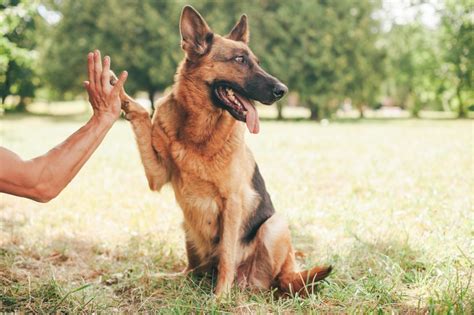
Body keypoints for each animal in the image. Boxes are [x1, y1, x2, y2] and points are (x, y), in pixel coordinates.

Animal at [115, 5, 330, 298]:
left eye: (257, 61)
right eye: (239, 60)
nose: (283, 91)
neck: (199, 132)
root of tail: (290, 271)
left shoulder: (233, 202)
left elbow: (227, 253)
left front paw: (219, 299)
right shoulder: (157, 176)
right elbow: (139, 116)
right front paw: (120, 95)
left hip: (275, 225)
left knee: (263, 282)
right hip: (188, 229)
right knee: (191, 272)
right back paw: (156, 279)